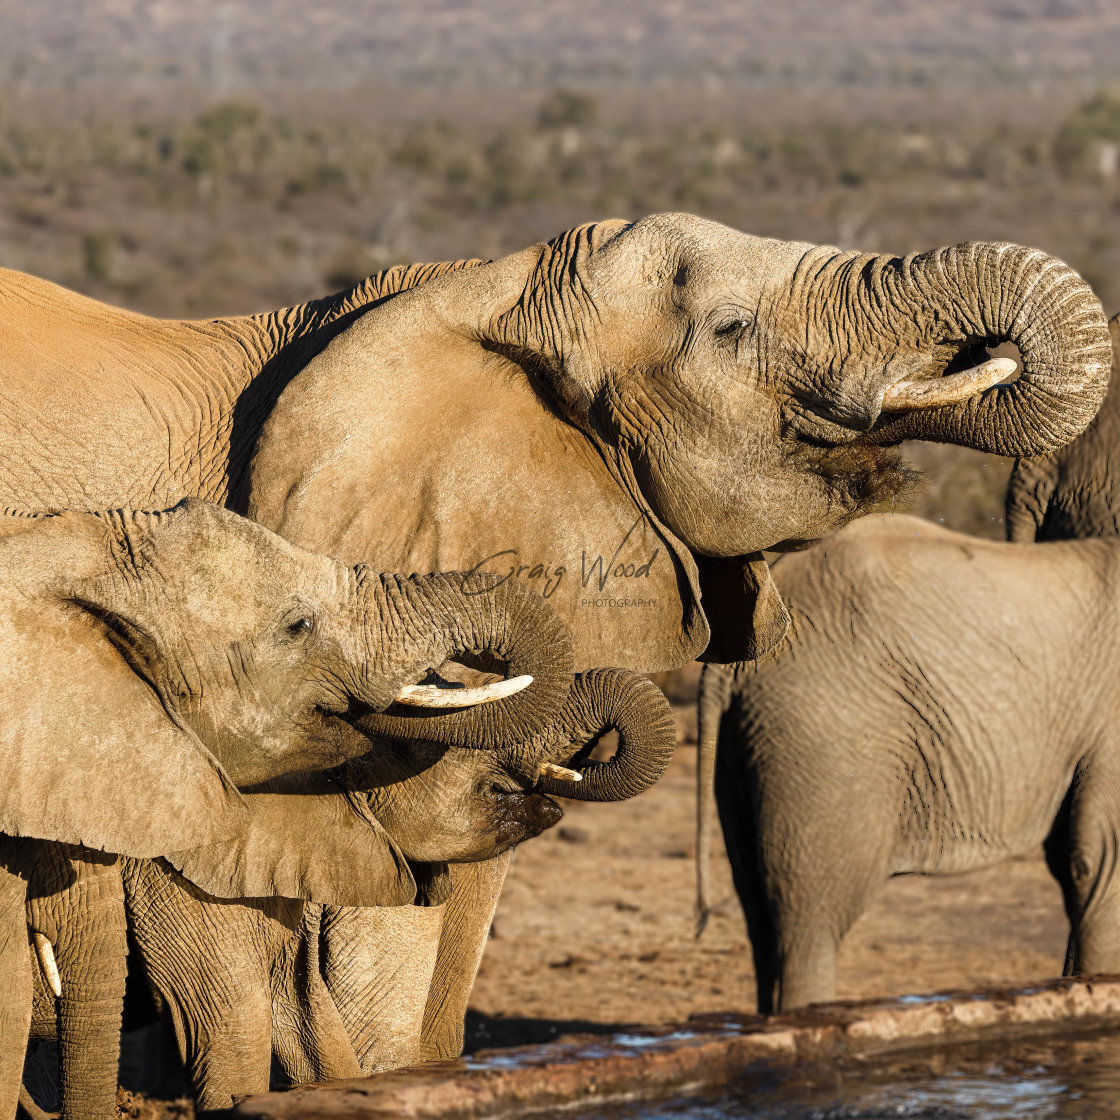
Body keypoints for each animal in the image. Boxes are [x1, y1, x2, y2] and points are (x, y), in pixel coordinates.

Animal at [698, 515, 1120, 1016]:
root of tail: (730, 664)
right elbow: (1100, 860)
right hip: (825, 734)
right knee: (809, 926)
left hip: (749, 750)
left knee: (759, 919)